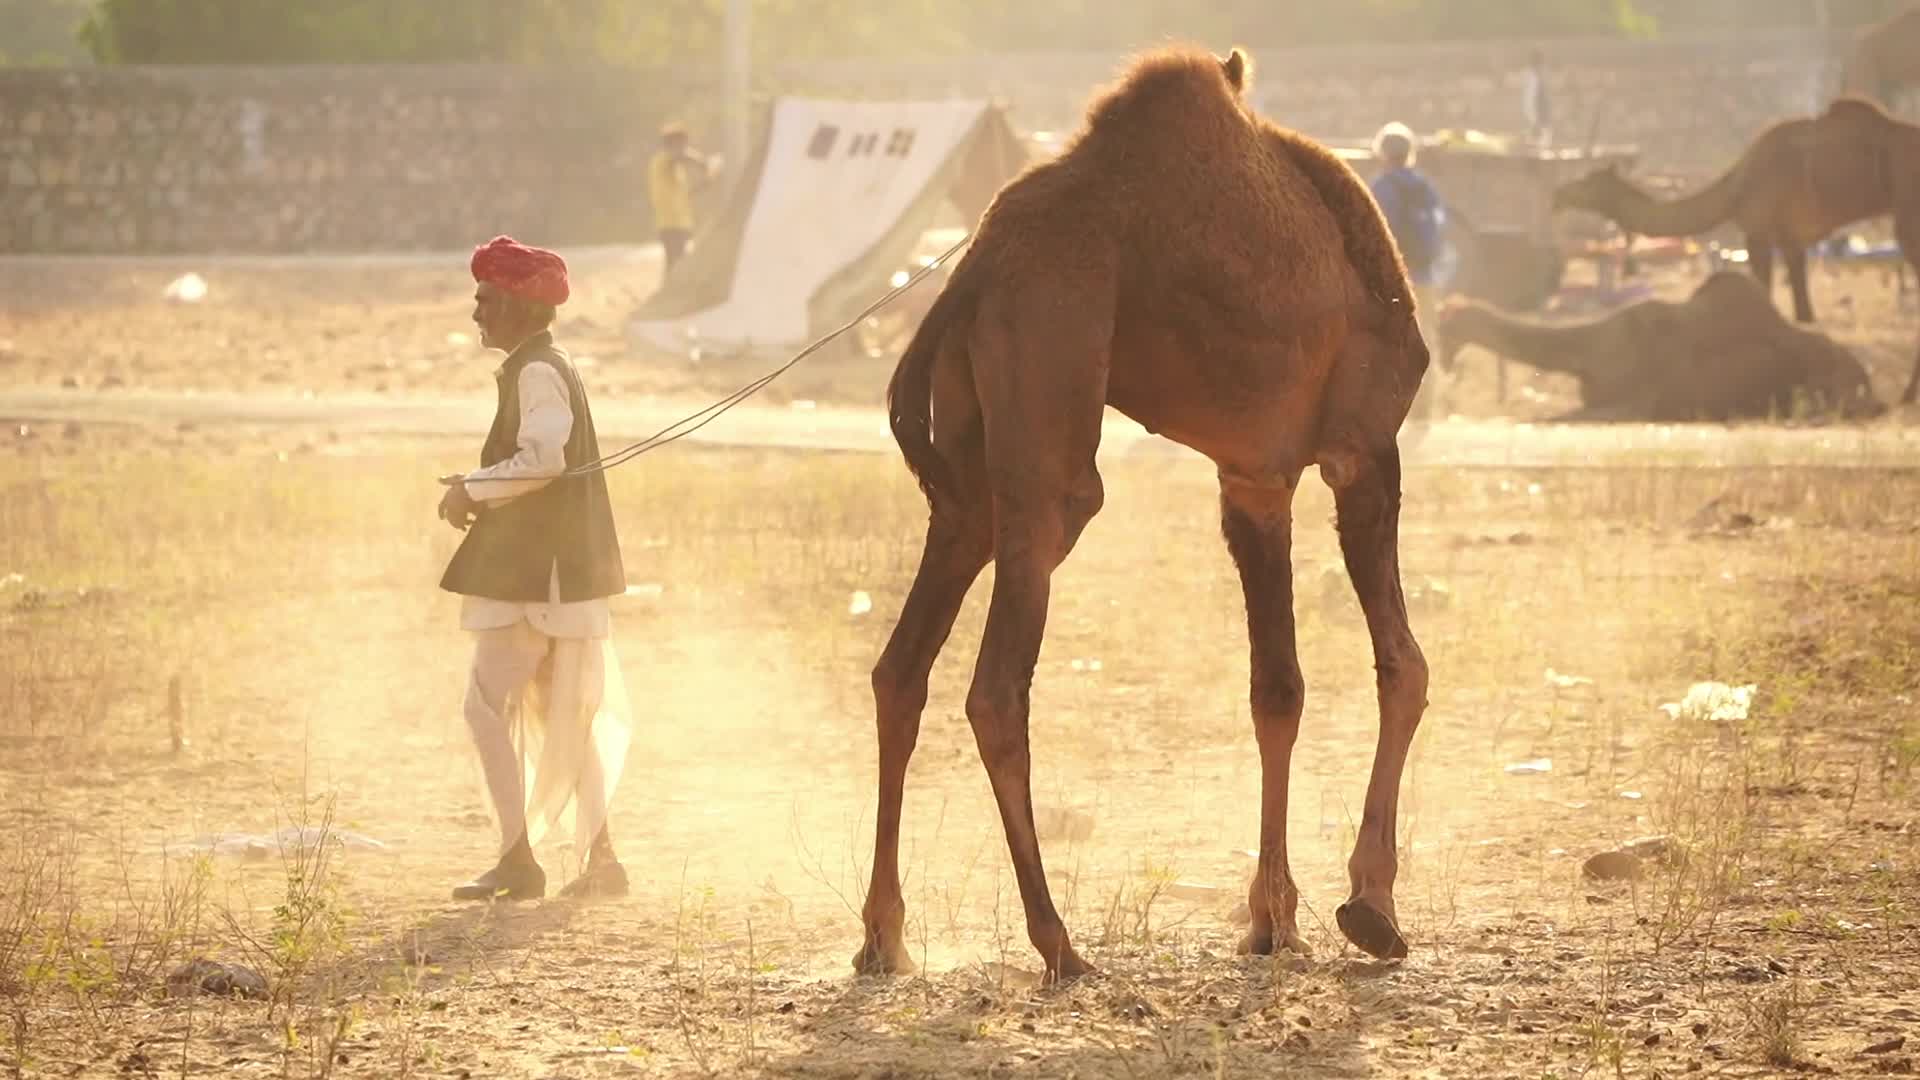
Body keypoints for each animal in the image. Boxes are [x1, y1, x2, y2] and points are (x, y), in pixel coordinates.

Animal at [856, 47, 1430, 984]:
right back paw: (1058, 942)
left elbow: (1277, 689)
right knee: (996, 687)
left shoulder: (1254, 477)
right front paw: (1370, 908)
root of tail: (973, 265)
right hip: (1053, 391)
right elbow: (1402, 667)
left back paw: (884, 936)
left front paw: (1274, 921)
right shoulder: (1363, 446)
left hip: (972, 467)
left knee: (902, 665)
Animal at [1435, 273, 1884, 422]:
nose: (1441, 361)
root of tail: (1868, 378)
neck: (1589, 351)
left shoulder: (1637, 404)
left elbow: (1552, 418)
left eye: (1445, 327)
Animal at [1552, 97, 1920, 404]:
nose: (1559, 194)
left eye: (1587, 180)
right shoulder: (1791, 239)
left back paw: (1906, 397)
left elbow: (1768, 296)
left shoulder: (1757, 232)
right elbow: (1803, 311)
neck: (1734, 189)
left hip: (1907, 215)